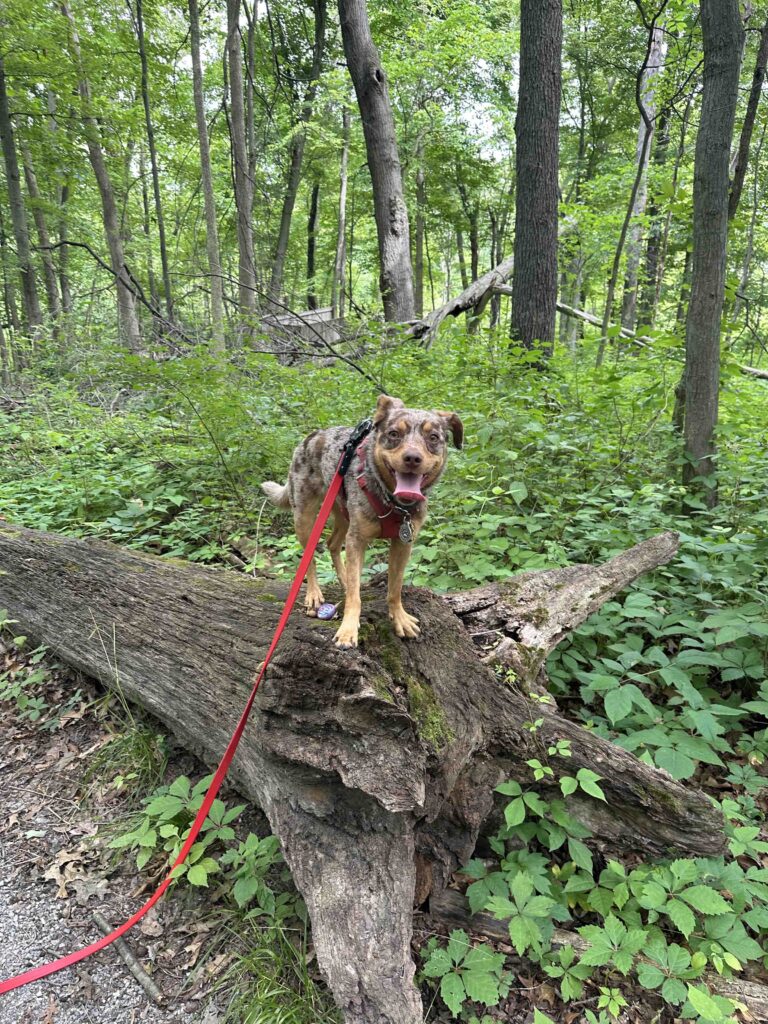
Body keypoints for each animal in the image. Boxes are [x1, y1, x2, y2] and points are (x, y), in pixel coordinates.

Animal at [262, 393, 462, 647]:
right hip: (305, 516)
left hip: (343, 513)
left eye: (433, 437)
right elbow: (355, 599)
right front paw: (348, 630)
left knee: (333, 545)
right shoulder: (357, 540)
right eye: (393, 434)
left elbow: (394, 588)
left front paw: (399, 618)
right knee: (310, 556)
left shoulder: (403, 544)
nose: (412, 458)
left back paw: (345, 580)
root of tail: (311, 437)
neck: (393, 502)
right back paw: (314, 594)